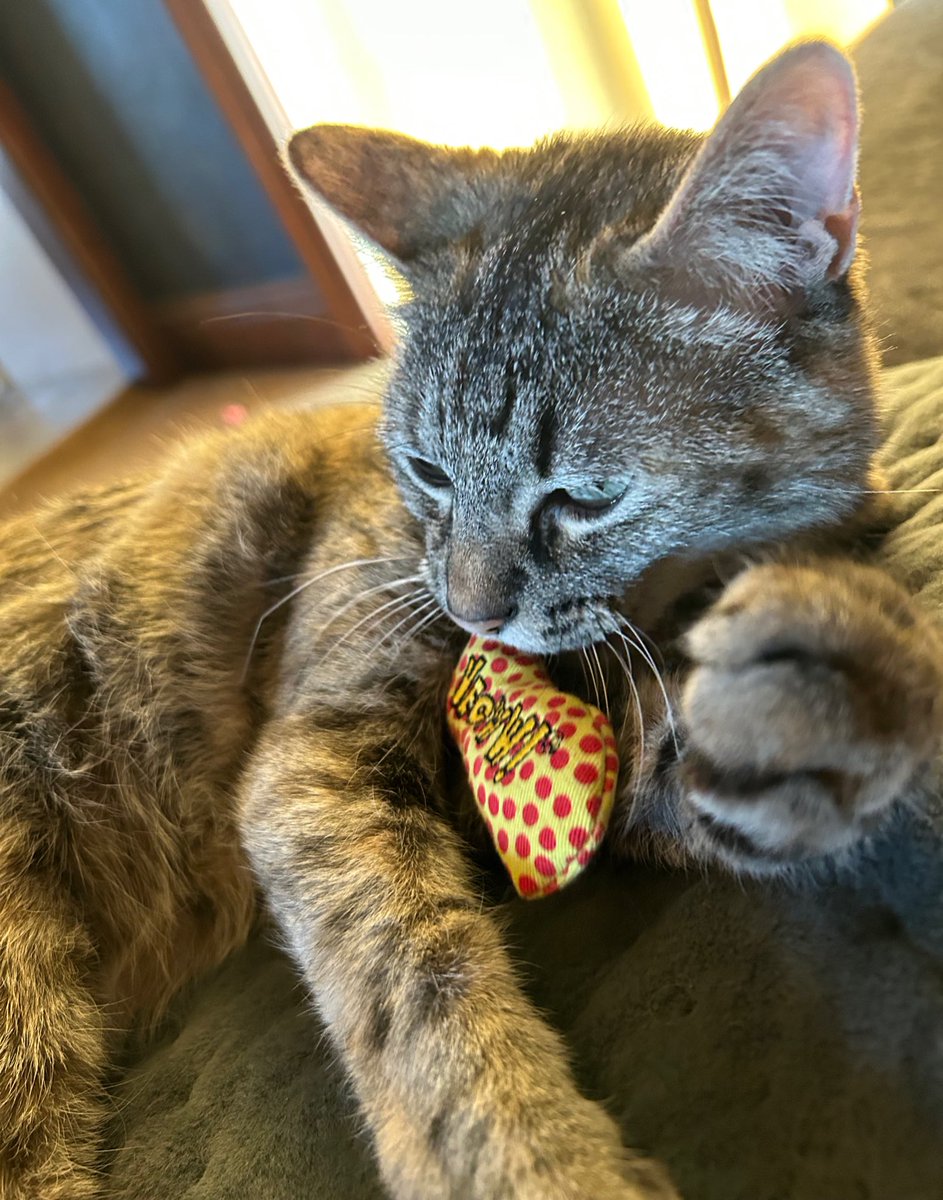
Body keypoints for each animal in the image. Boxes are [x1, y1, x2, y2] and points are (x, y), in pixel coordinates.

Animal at [1, 37, 940, 1200]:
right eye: (427, 469)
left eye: (586, 496)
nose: (468, 603)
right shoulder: (316, 759)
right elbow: (417, 989)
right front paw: (533, 1158)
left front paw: (844, 685)